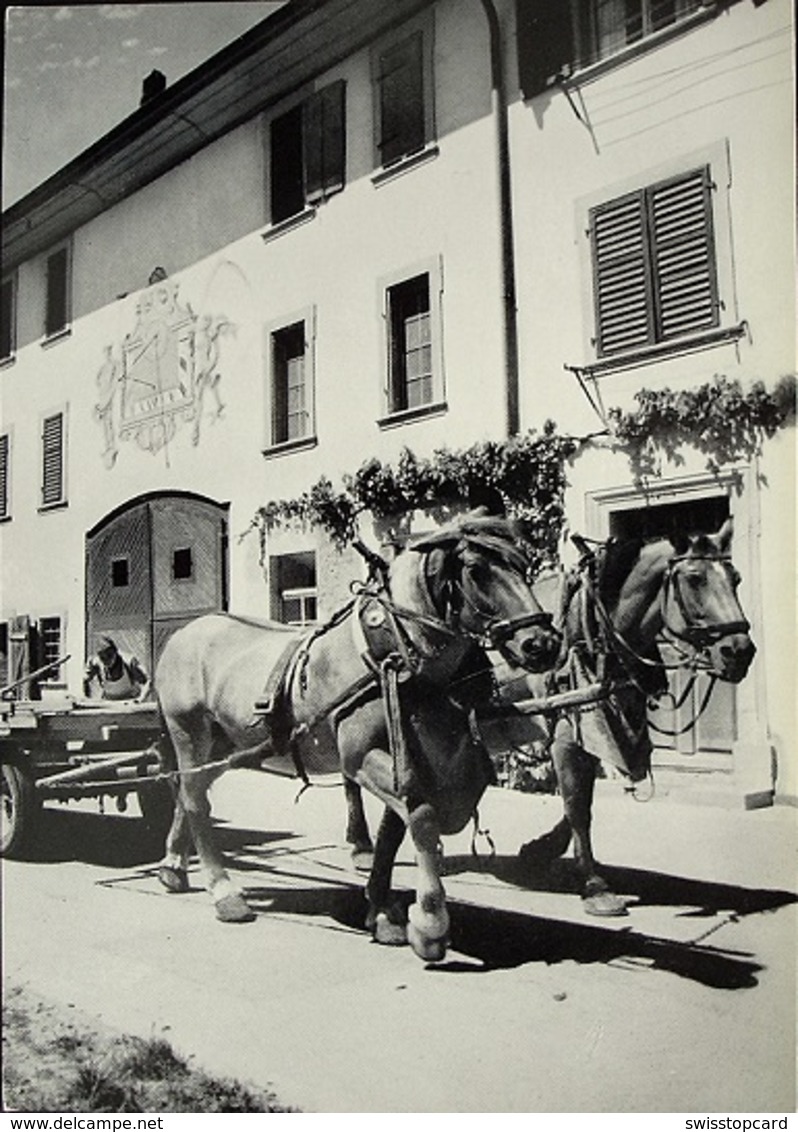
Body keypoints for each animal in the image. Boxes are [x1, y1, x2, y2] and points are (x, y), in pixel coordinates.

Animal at [156, 509, 561, 959]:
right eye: (475, 569)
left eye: (523, 564)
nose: (542, 644)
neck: (398, 651)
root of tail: (185, 632)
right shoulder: (361, 756)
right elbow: (422, 819)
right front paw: (430, 922)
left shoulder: (410, 759)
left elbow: (393, 833)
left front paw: (382, 910)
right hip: (189, 730)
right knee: (195, 800)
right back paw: (224, 891)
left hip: (226, 745)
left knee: (188, 791)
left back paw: (173, 866)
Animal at [516, 518, 751, 914]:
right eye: (694, 579)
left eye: (735, 578)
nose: (739, 651)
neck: (592, 625)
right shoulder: (568, 732)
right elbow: (577, 806)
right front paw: (594, 884)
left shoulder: (601, 725)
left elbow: (579, 798)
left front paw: (540, 851)